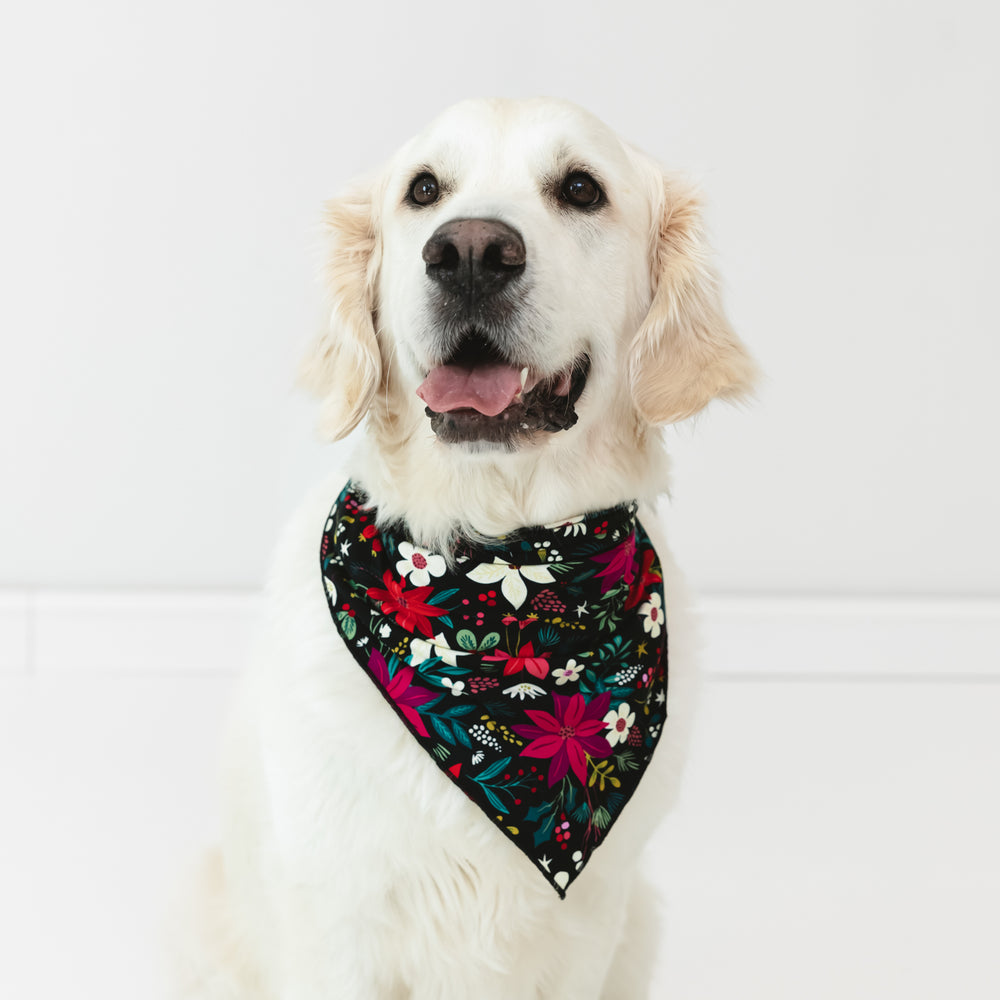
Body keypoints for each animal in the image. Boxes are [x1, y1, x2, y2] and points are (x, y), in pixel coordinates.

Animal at [180, 95, 752, 1000]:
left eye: (581, 188)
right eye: (424, 189)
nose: (471, 252)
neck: (502, 569)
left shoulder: (585, 931)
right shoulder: (341, 924)